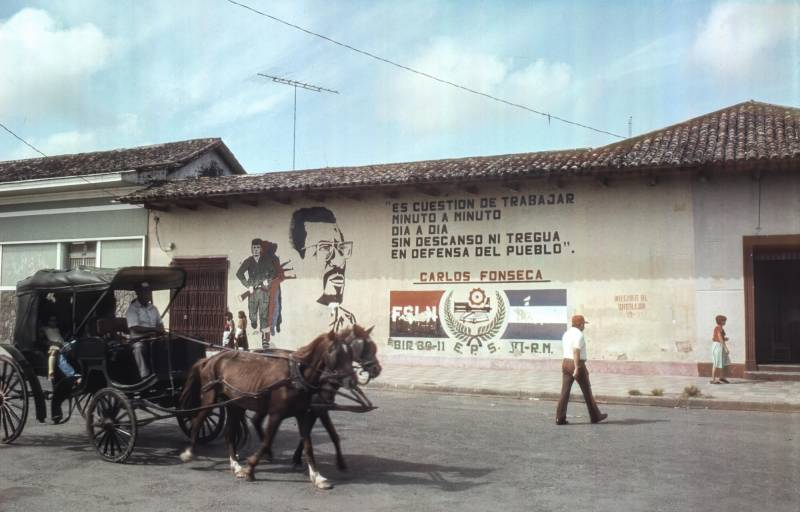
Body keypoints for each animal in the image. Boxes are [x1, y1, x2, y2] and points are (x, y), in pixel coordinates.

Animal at [183, 330, 358, 490]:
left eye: (350, 353)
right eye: (336, 352)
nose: (353, 380)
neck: (296, 377)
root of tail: (210, 359)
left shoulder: (302, 414)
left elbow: (308, 445)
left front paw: (318, 477)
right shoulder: (276, 414)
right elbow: (267, 441)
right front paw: (250, 468)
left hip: (235, 405)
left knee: (229, 433)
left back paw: (235, 465)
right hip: (210, 398)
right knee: (198, 421)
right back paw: (189, 453)